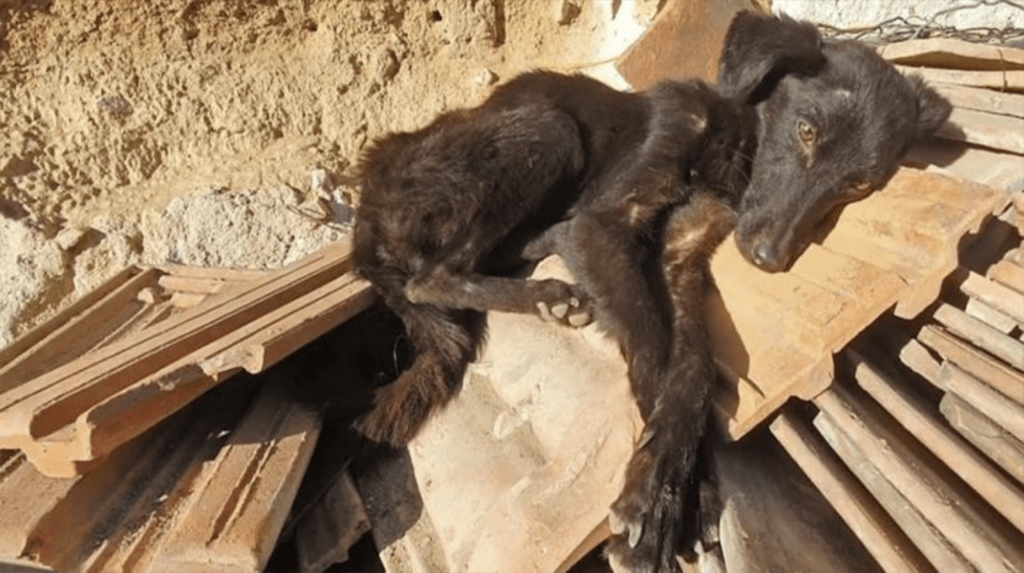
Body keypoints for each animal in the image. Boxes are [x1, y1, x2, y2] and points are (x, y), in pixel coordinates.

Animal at [354, 10, 950, 573]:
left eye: (859, 184)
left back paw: (550, 286)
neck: (729, 143)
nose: (768, 258)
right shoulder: (605, 224)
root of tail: (366, 201)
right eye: (806, 130)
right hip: (547, 130)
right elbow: (651, 346)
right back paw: (545, 289)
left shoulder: (678, 258)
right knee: (430, 278)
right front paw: (659, 503)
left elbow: (695, 370)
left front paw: (689, 493)